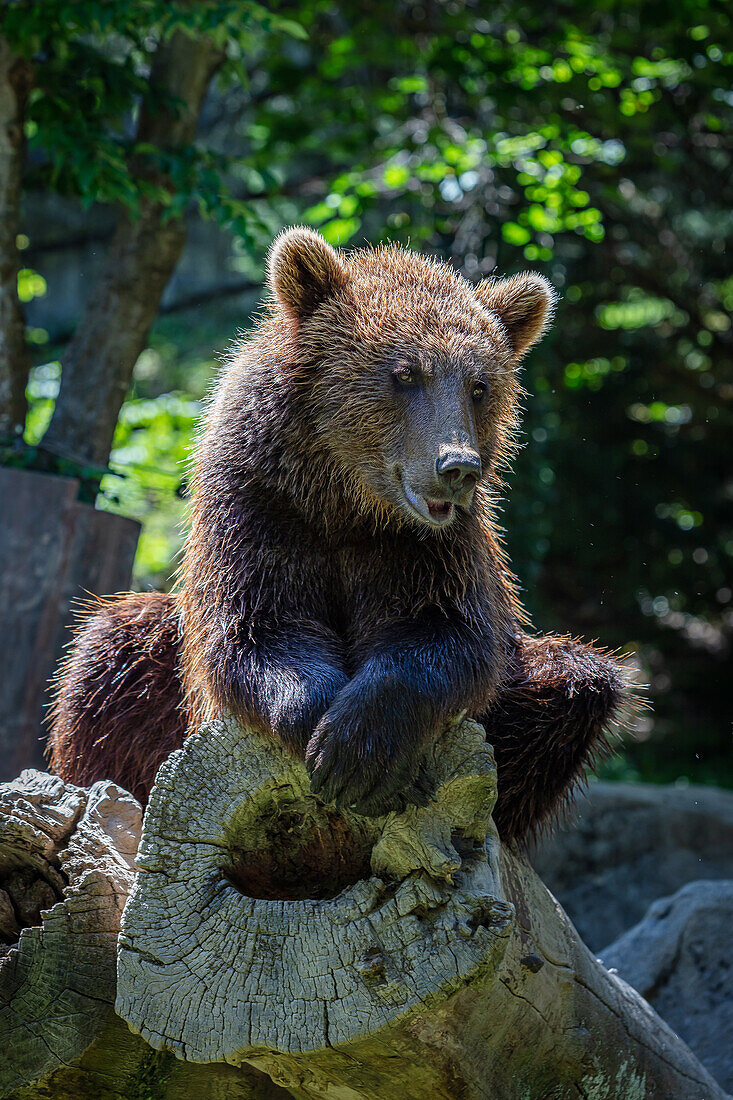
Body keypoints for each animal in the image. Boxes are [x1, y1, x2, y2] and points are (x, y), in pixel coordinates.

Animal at [48, 227, 625, 836]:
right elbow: (259, 624)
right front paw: (326, 733)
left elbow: (445, 631)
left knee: (575, 680)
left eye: (479, 385)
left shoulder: (422, 546)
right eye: (405, 373)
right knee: (110, 654)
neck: (345, 498)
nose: (458, 467)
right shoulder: (262, 505)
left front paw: (363, 748)